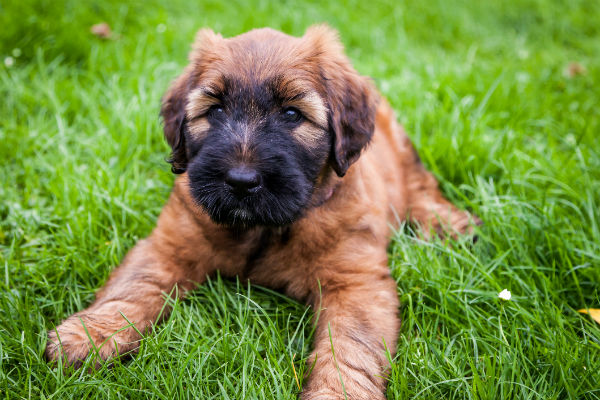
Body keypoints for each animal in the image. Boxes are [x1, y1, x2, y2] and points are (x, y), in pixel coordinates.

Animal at [45, 25, 478, 400]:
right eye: (215, 111)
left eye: (292, 114)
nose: (240, 181)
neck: (264, 228)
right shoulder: (168, 245)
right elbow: (135, 288)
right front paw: (91, 334)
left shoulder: (355, 283)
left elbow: (349, 349)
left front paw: (336, 393)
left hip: (402, 145)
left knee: (419, 182)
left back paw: (448, 225)